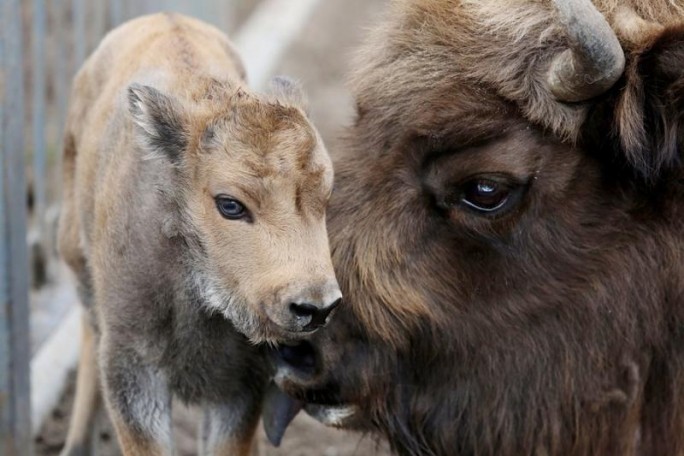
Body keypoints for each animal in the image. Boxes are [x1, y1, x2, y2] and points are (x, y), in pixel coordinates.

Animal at [57, 12, 340, 454]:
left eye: (325, 197)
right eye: (230, 205)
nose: (316, 307)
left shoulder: (241, 381)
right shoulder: (132, 366)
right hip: (75, 254)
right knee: (88, 326)